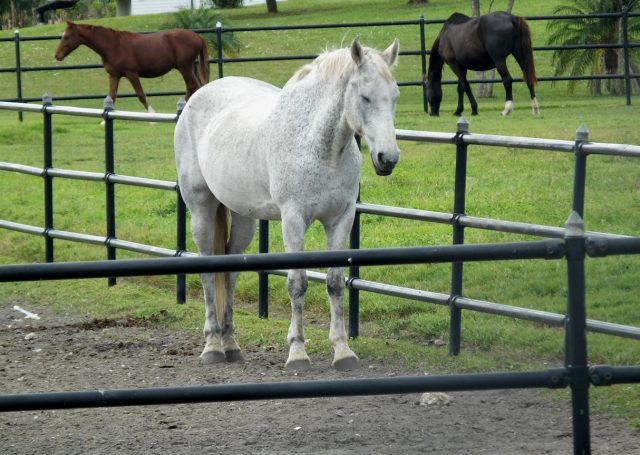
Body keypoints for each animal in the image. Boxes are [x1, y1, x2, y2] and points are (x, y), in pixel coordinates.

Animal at [54, 21, 209, 113]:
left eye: (66, 37)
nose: (57, 55)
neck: (114, 45)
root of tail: (198, 36)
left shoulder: (132, 74)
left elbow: (141, 95)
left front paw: (152, 117)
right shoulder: (114, 76)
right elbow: (112, 96)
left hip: (185, 68)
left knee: (191, 86)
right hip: (189, 68)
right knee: (198, 87)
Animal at [174, 38, 400, 371]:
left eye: (394, 96)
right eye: (365, 96)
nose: (388, 158)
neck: (317, 144)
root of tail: (196, 98)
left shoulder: (341, 219)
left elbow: (335, 282)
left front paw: (342, 350)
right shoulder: (293, 220)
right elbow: (297, 284)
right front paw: (297, 352)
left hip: (243, 220)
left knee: (230, 272)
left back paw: (231, 345)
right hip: (201, 209)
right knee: (208, 273)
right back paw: (213, 346)